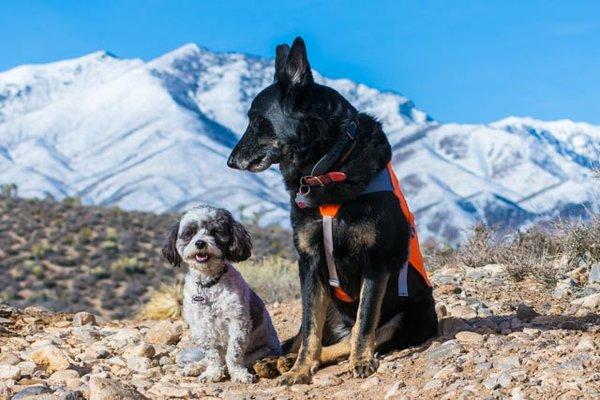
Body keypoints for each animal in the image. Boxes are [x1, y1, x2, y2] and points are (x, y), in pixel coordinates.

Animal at [163, 206, 282, 382]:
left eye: (216, 232)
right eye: (189, 233)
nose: (200, 243)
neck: (209, 284)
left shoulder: (238, 322)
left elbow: (234, 353)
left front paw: (239, 374)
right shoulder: (202, 326)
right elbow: (212, 355)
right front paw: (213, 373)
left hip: (264, 350)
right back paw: (195, 367)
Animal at [226, 37, 436, 384]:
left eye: (257, 121)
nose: (230, 162)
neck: (328, 167)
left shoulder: (375, 262)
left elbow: (365, 321)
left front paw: (360, 360)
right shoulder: (309, 264)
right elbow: (309, 329)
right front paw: (299, 370)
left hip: (409, 315)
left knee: (350, 337)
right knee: (306, 335)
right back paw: (280, 360)